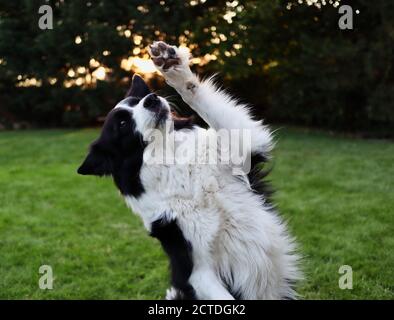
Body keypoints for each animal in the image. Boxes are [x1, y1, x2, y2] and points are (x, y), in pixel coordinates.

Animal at [77, 41, 300, 298]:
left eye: (137, 100)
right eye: (122, 123)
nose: (152, 99)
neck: (176, 162)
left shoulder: (244, 147)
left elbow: (196, 96)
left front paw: (173, 68)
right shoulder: (196, 272)